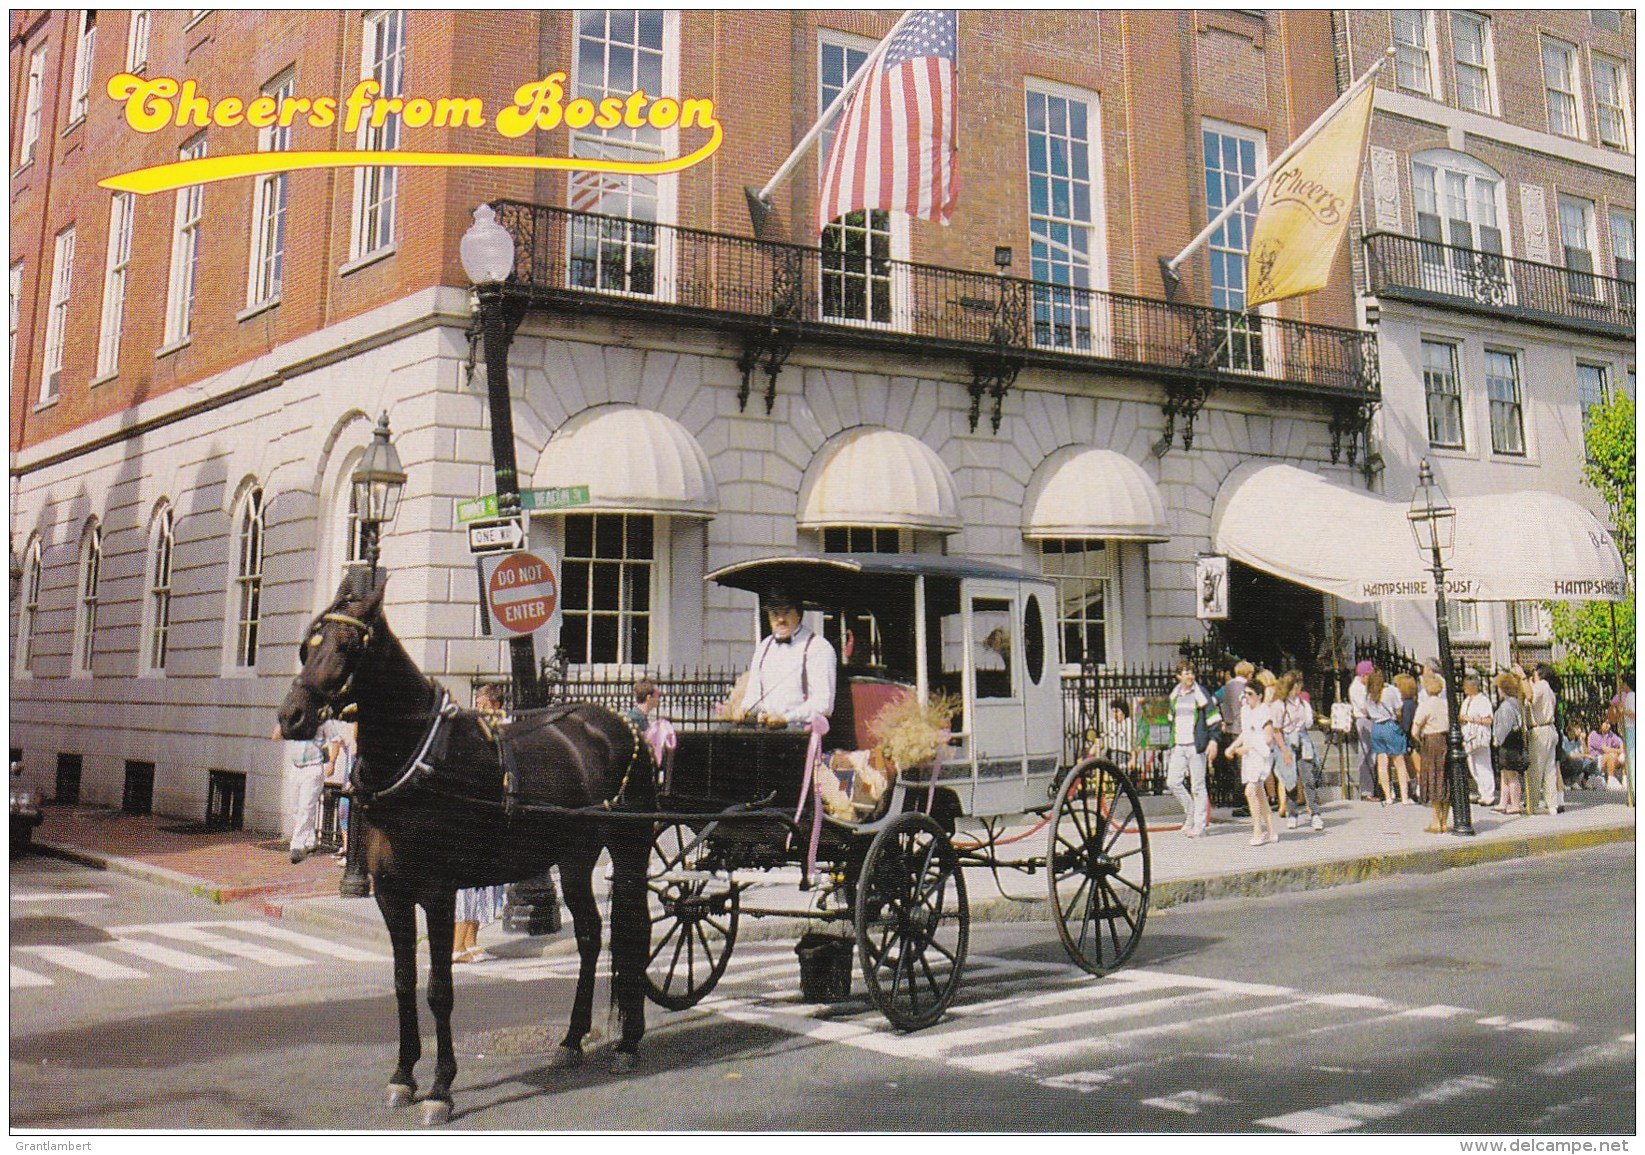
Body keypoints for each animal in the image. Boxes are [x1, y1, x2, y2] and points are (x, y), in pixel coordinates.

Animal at [278, 575, 654, 1125]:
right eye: (308, 646)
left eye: (349, 647)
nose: (292, 716)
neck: (418, 758)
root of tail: (623, 724)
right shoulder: (391, 895)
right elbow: (403, 982)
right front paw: (402, 1075)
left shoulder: (437, 892)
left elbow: (439, 989)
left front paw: (440, 1087)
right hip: (574, 857)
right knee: (590, 934)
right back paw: (571, 1039)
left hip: (628, 852)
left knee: (635, 932)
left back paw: (628, 1042)